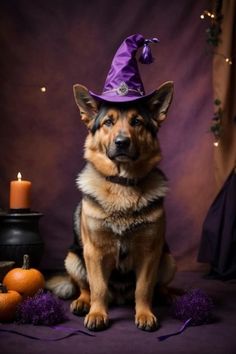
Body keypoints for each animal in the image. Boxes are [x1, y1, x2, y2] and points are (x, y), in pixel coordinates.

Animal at [47, 81, 175, 332]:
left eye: (137, 122)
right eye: (108, 122)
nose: (122, 142)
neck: (122, 185)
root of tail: (120, 297)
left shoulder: (149, 253)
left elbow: (144, 288)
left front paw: (144, 314)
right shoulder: (94, 252)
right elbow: (98, 288)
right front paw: (97, 313)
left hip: (168, 260)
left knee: (157, 286)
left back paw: (166, 295)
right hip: (73, 258)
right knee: (85, 287)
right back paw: (83, 302)